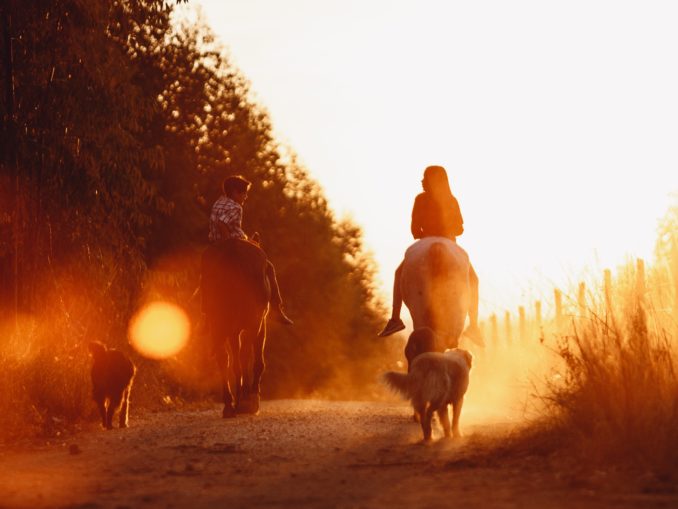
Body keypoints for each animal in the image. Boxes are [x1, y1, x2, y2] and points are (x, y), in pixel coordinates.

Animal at [201, 240, 270, 418]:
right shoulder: (259, 324)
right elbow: (256, 361)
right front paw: (252, 399)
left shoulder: (233, 330)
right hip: (252, 322)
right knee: (244, 356)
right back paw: (245, 401)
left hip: (218, 322)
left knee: (223, 359)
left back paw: (229, 405)